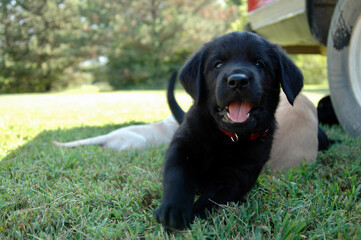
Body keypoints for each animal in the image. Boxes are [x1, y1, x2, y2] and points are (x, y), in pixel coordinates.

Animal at [153, 30, 302, 231]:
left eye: (259, 63)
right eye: (218, 64)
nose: (238, 80)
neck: (227, 138)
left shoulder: (238, 176)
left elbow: (213, 198)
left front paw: (194, 214)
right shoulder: (182, 145)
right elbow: (177, 175)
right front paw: (173, 210)